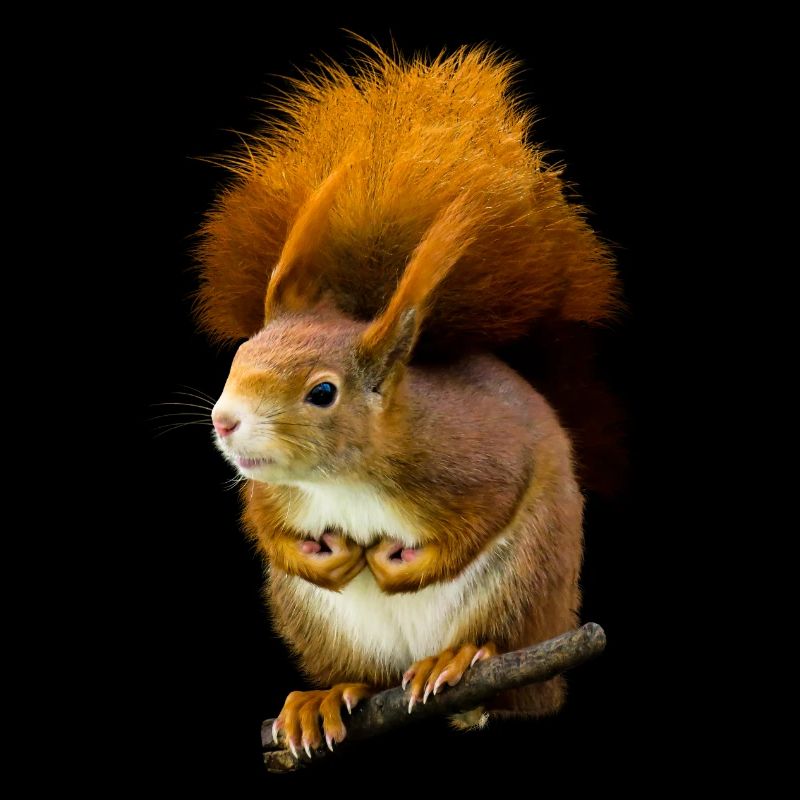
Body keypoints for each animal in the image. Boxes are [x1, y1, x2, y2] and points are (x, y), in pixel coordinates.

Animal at [196, 44, 618, 757]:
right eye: (239, 357)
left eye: (322, 392)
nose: (225, 422)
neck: (343, 479)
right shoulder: (273, 493)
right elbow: (265, 527)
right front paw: (323, 556)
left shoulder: (475, 459)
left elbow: (483, 514)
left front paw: (396, 566)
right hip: (320, 625)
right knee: (362, 675)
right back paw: (326, 697)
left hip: (523, 588)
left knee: (513, 676)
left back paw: (459, 662)